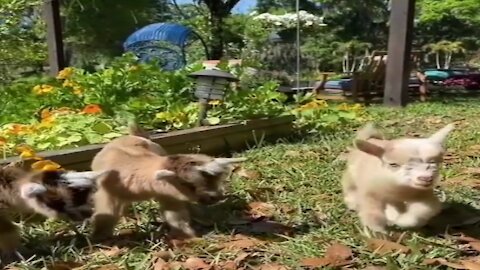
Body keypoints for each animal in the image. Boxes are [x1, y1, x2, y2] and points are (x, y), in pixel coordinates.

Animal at [77, 123, 246, 239]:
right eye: (188, 184)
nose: (216, 197)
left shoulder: (167, 193)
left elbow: (176, 216)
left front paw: (190, 235)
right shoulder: (107, 193)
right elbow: (105, 215)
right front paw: (98, 238)